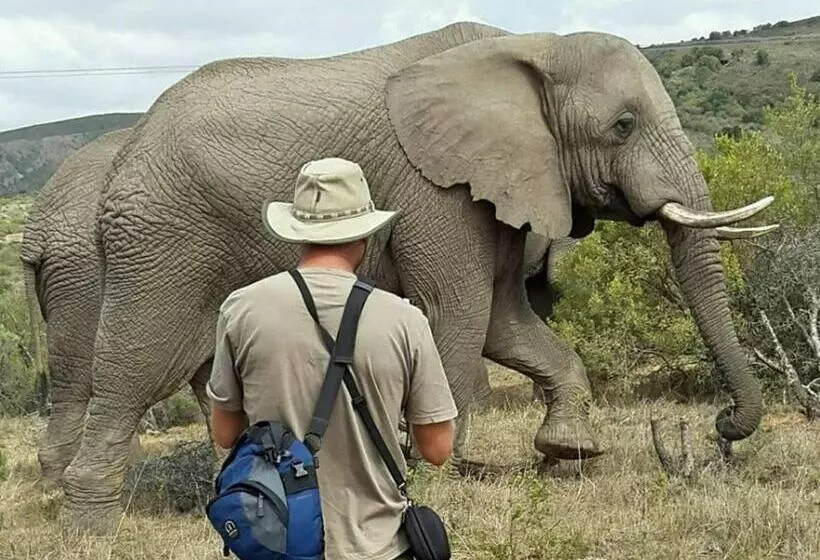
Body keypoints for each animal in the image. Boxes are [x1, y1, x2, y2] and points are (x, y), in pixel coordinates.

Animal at [58, 21, 777, 530]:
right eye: (622, 126)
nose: (720, 430)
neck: (531, 47)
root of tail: (123, 154)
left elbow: (505, 323)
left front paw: (567, 450)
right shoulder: (437, 191)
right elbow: (457, 313)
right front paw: (454, 475)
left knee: (214, 386)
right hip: (160, 239)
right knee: (135, 369)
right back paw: (90, 526)